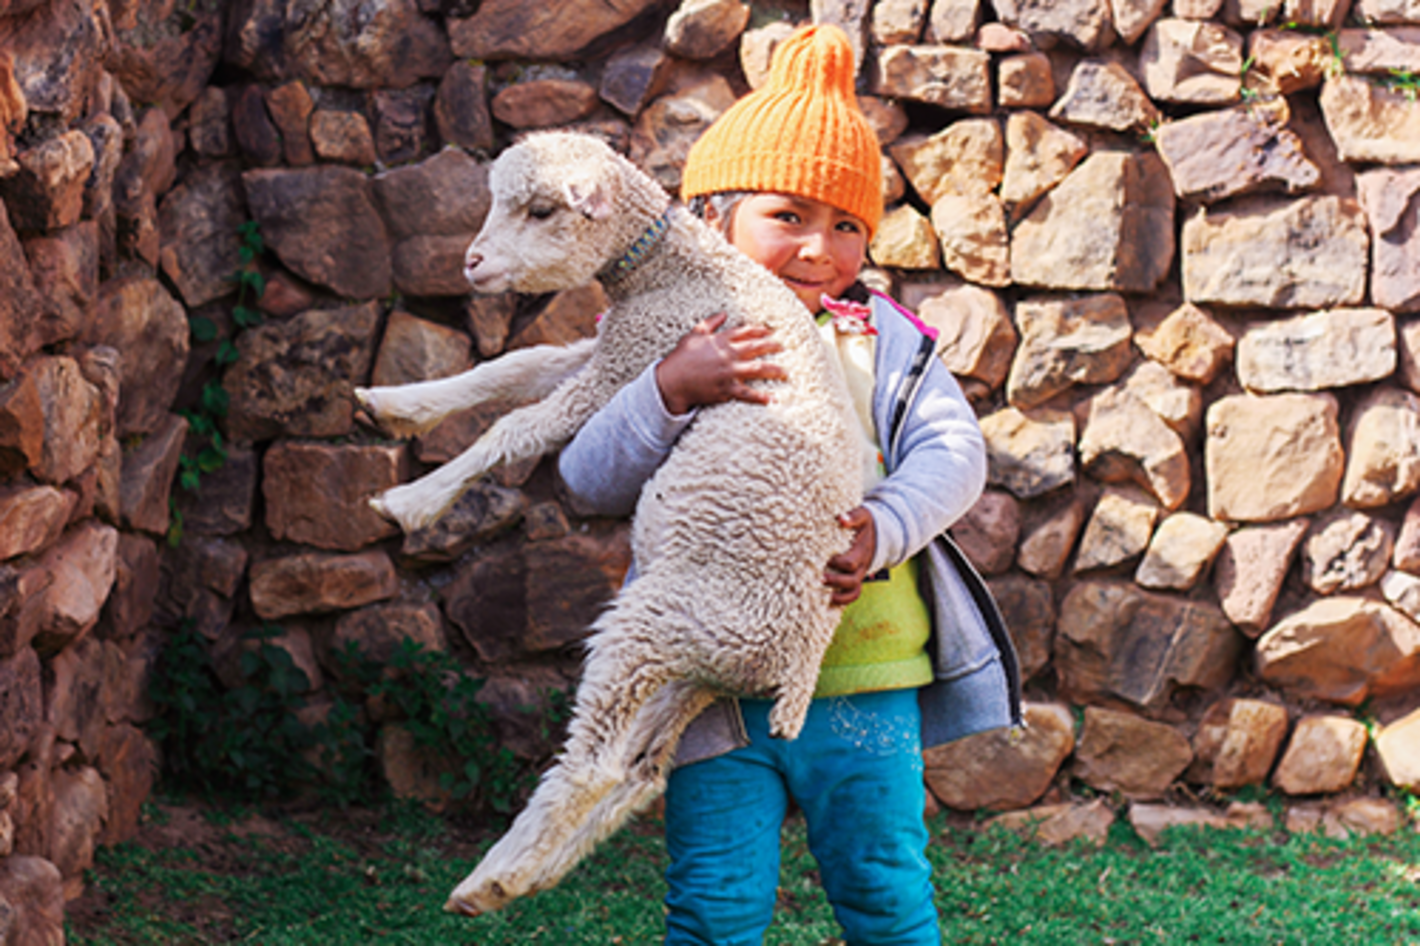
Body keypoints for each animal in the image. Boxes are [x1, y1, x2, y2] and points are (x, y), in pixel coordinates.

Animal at [354, 131, 865, 918]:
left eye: (539, 210)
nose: (471, 263)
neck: (671, 270)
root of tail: (794, 670)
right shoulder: (612, 350)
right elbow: (513, 366)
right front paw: (393, 405)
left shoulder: (631, 359)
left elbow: (518, 425)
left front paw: (414, 499)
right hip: (693, 674)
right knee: (640, 772)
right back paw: (522, 876)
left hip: (655, 625)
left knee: (594, 764)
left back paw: (488, 879)